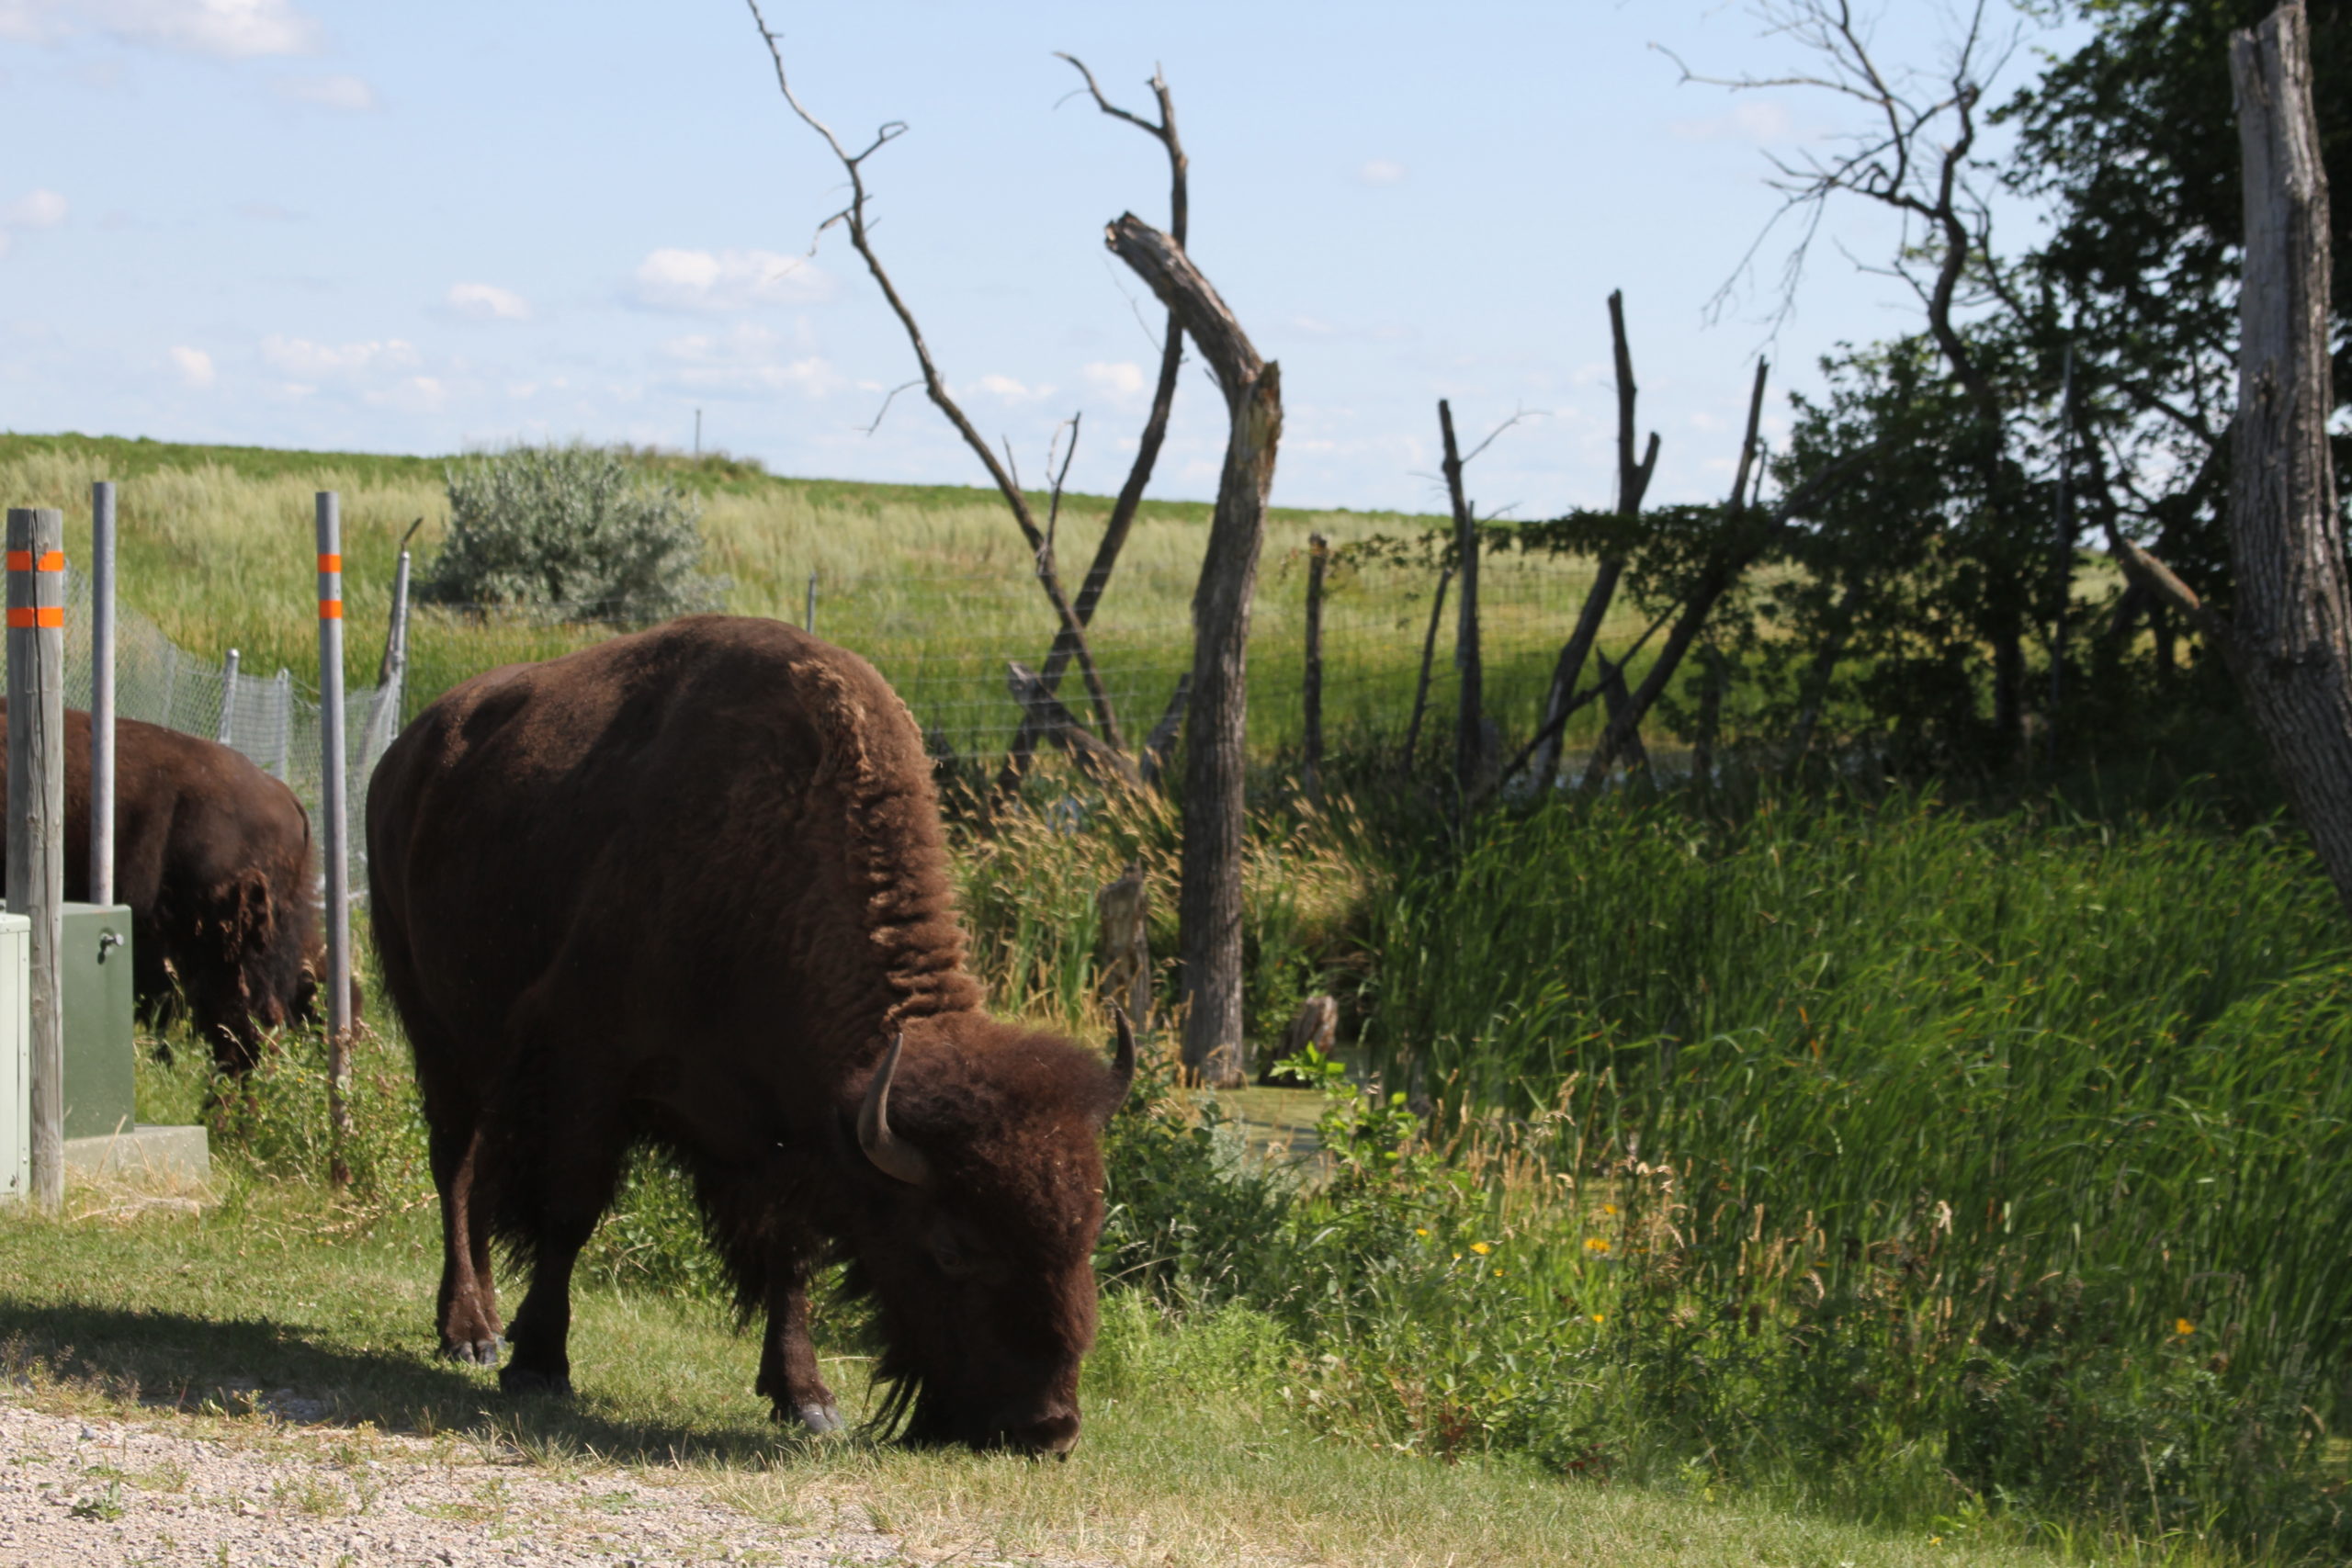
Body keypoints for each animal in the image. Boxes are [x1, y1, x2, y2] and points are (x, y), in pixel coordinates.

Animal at [364, 620, 1128, 1457]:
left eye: (1089, 1230)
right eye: (953, 1246)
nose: (1047, 1427)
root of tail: (409, 750)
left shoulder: (786, 1139)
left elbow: (790, 1258)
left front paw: (807, 1397)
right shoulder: (584, 1074)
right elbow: (568, 1215)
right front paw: (539, 1364)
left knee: (475, 1182)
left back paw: (485, 1324)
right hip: (440, 1039)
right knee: (456, 1169)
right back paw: (469, 1331)